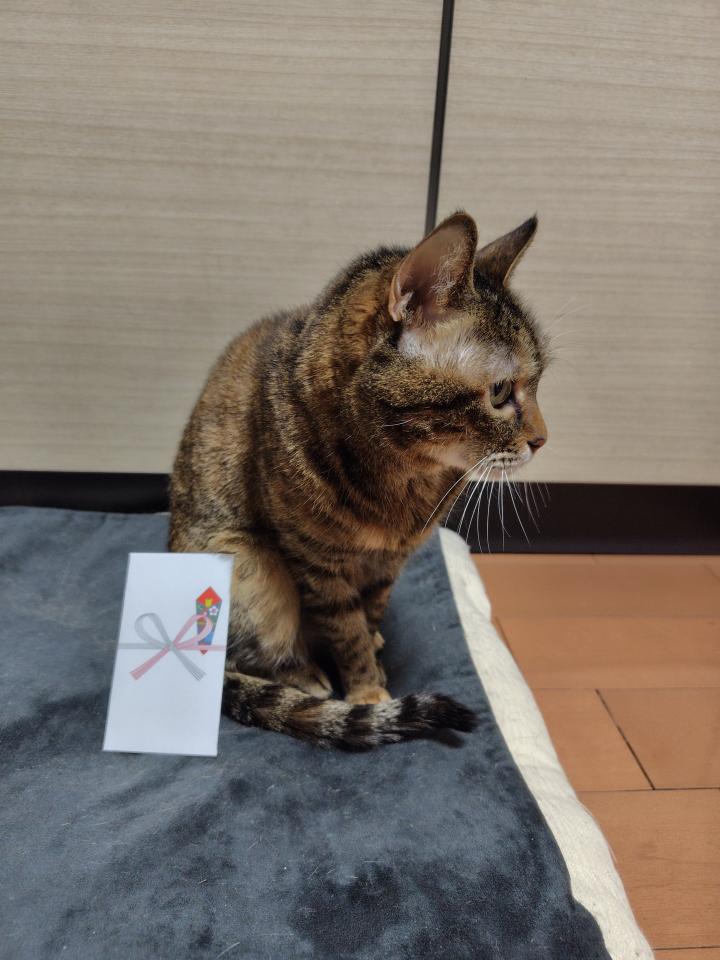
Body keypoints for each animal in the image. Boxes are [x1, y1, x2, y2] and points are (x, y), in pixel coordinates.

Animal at [169, 211, 548, 748]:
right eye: (499, 393)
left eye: (538, 384)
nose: (543, 439)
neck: (408, 477)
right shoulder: (318, 565)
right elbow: (346, 633)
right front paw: (367, 693)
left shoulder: (389, 562)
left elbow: (369, 612)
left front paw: (373, 649)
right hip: (252, 566)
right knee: (244, 655)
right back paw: (305, 676)